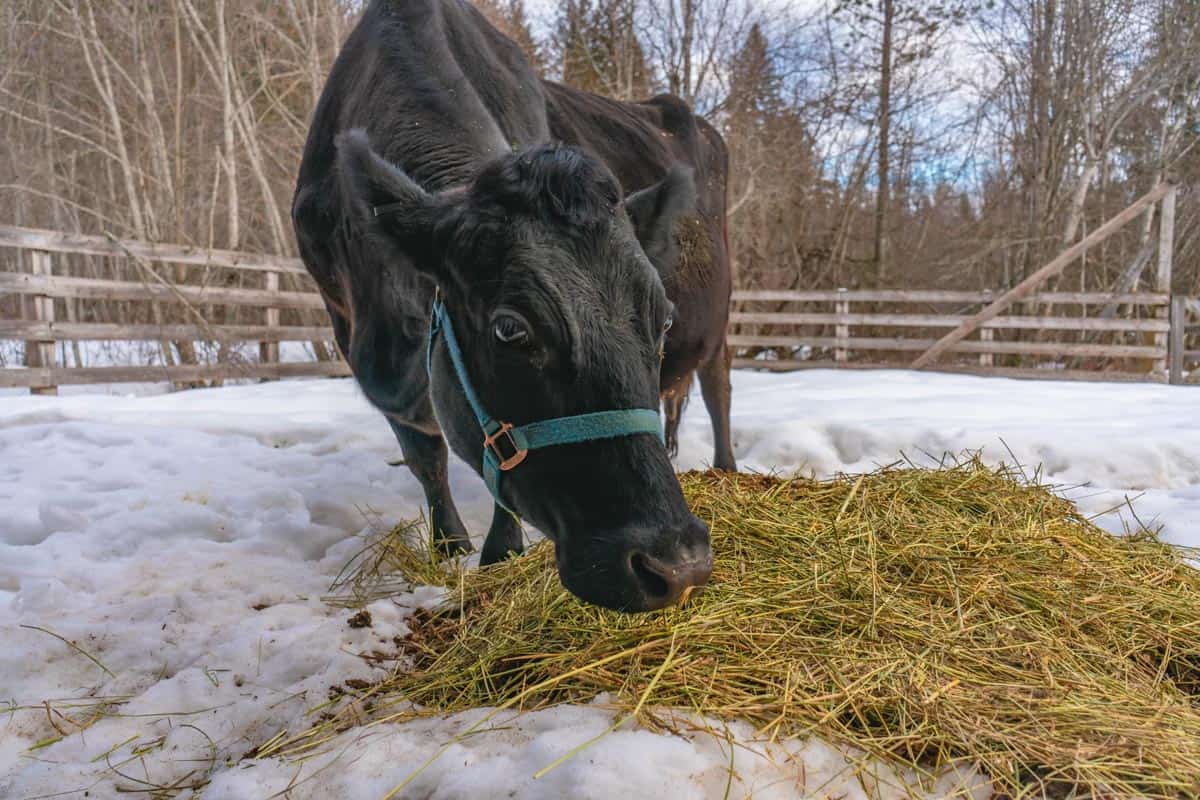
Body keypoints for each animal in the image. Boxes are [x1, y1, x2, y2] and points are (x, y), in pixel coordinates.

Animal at [292, 0, 735, 613]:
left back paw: (728, 469)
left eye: (663, 318)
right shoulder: (356, 344)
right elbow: (424, 458)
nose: (678, 564)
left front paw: (499, 552)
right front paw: (449, 547)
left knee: (719, 390)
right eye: (510, 329)